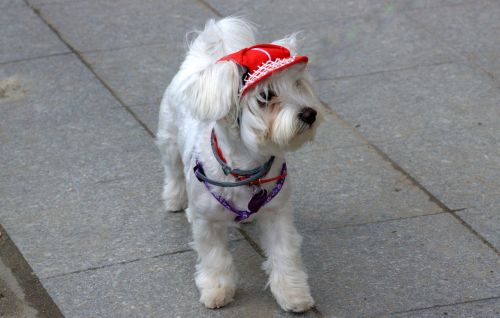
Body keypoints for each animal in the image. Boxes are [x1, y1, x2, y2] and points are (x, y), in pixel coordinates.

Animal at [158, 16, 326, 310]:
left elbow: (285, 255)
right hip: (169, 141)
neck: (248, 167)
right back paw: (176, 200)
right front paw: (217, 289)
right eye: (266, 96)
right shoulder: (207, 224)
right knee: (174, 174)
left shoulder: (278, 214)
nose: (310, 113)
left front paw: (292, 294)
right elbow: (215, 257)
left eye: (297, 85)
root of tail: (200, 58)